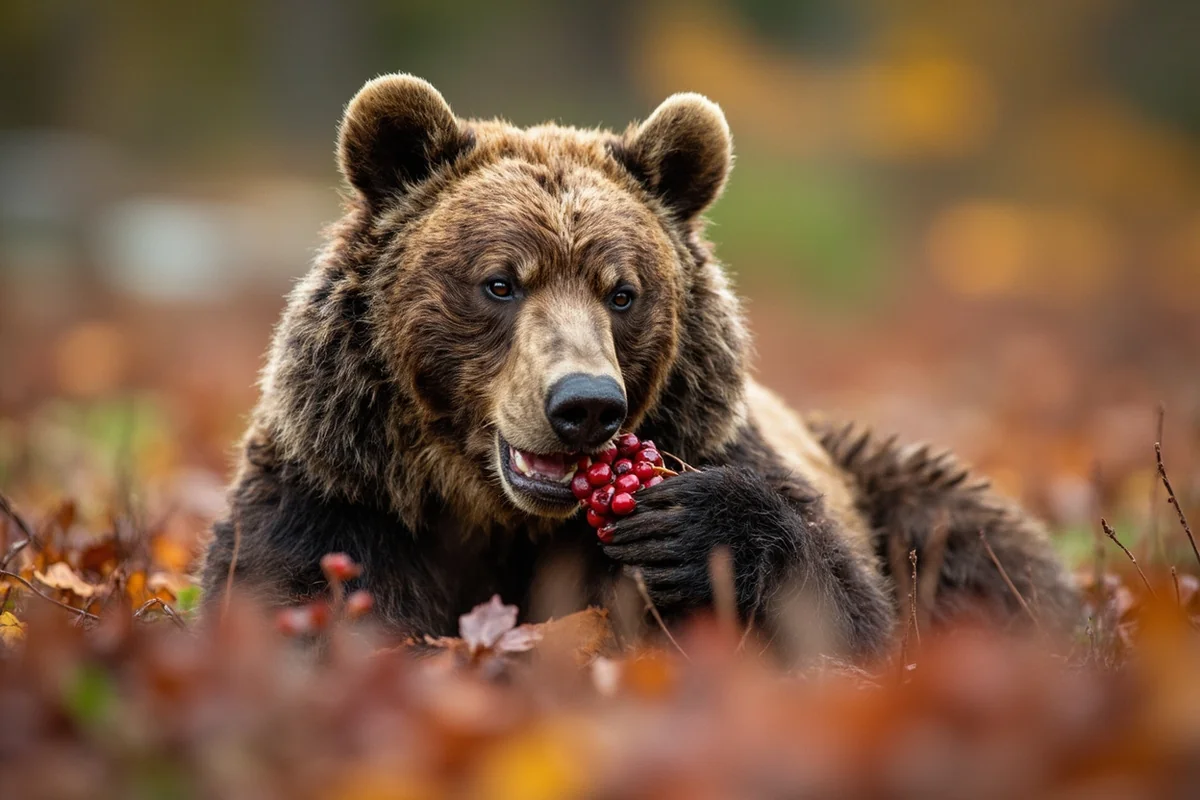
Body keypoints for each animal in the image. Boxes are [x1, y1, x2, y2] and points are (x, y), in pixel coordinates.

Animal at [201, 73, 1078, 660]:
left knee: (978, 543)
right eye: (500, 282)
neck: (493, 512)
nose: (585, 403)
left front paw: (695, 528)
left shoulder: (723, 455)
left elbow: (848, 620)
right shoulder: (345, 492)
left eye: (622, 291)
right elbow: (291, 599)